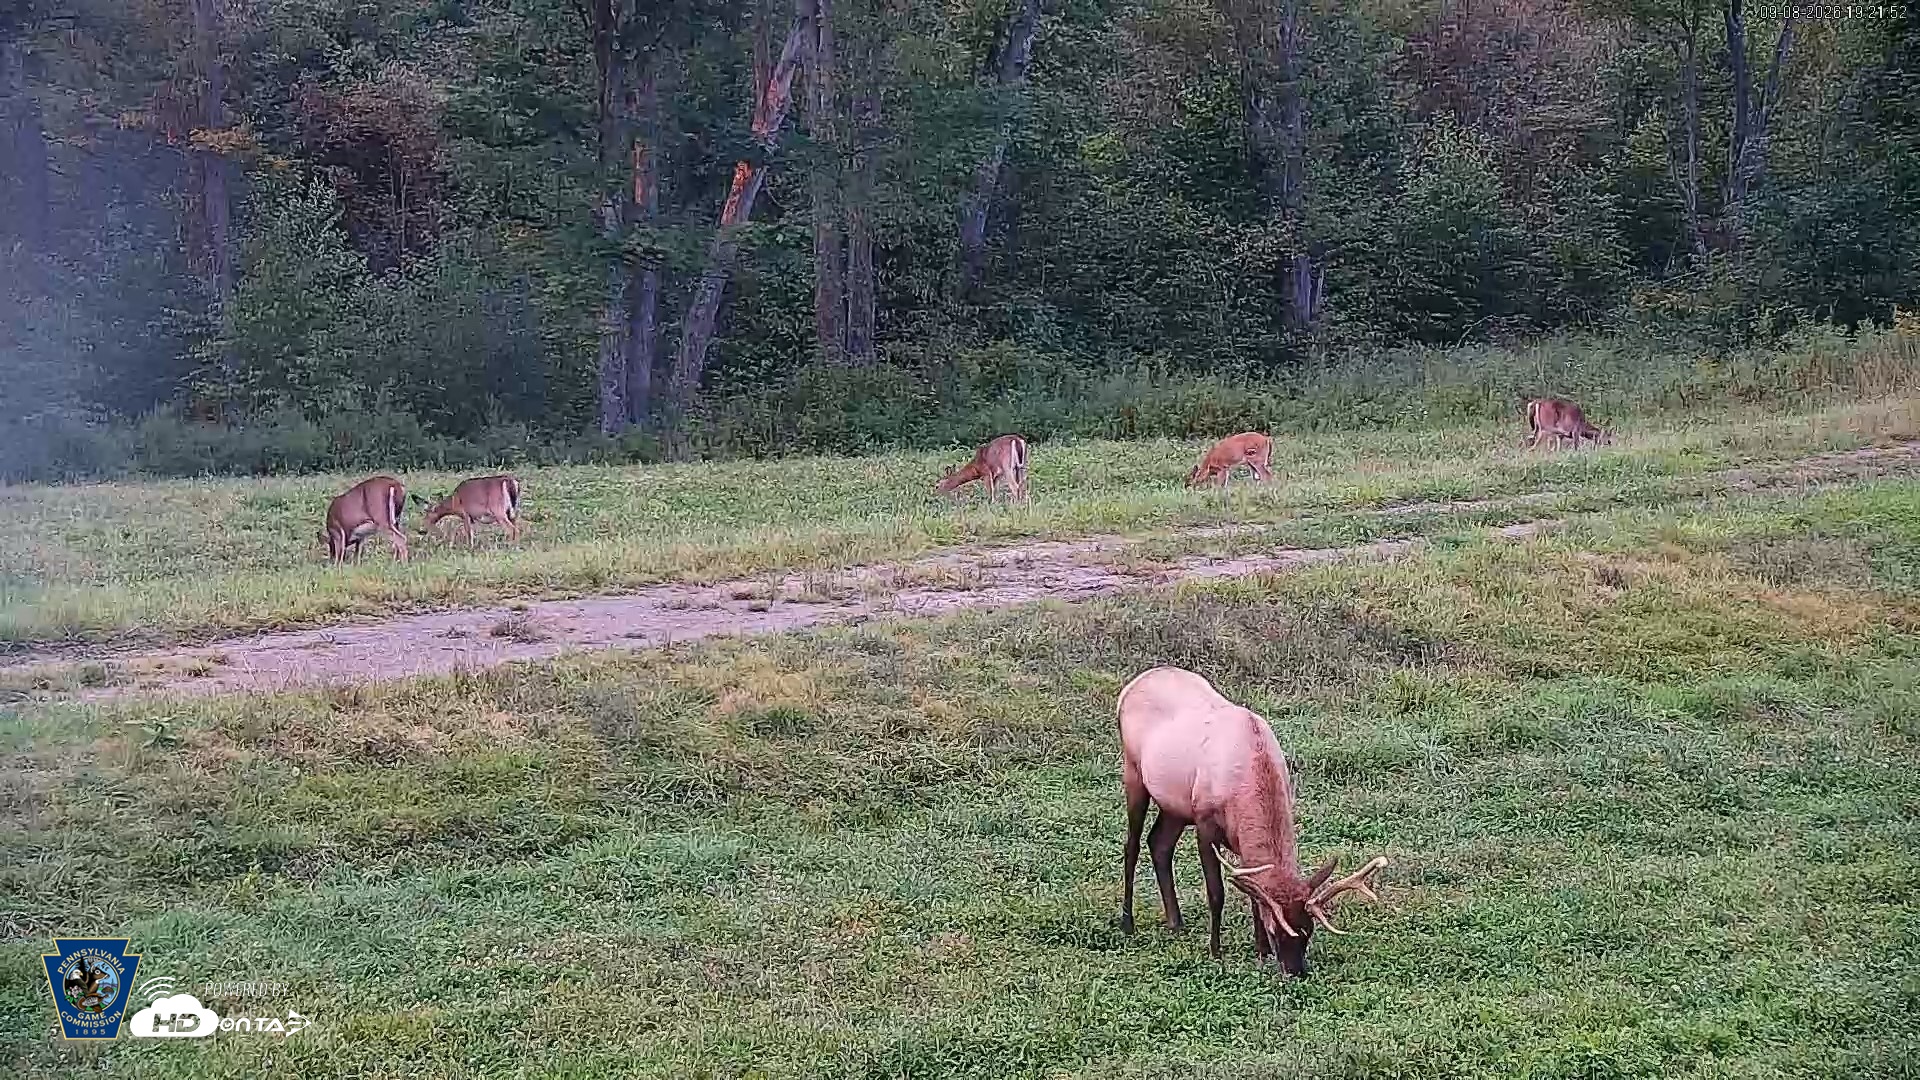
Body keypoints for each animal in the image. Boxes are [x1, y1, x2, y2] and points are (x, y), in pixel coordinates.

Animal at [1117, 666, 1389, 976]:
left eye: (1308, 932)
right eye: (1277, 932)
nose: (1295, 971)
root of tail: (1130, 688)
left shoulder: (1238, 836)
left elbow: (1254, 892)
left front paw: (1260, 952)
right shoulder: (1204, 821)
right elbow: (1217, 892)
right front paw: (1216, 949)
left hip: (1175, 806)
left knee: (1159, 843)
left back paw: (1175, 922)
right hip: (1133, 772)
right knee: (1132, 845)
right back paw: (1127, 922)